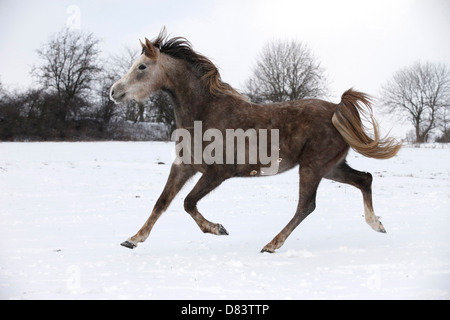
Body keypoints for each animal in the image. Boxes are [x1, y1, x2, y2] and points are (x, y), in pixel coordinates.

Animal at [110, 27, 400, 252]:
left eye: (141, 67)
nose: (114, 92)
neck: (205, 112)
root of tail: (337, 110)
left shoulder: (218, 172)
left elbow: (187, 202)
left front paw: (217, 228)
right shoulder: (184, 166)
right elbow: (162, 202)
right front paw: (133, 239)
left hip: (313, 167)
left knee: (306, 205)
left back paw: (271, 244)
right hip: (331, 168)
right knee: (364, 179)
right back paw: (377, 224)